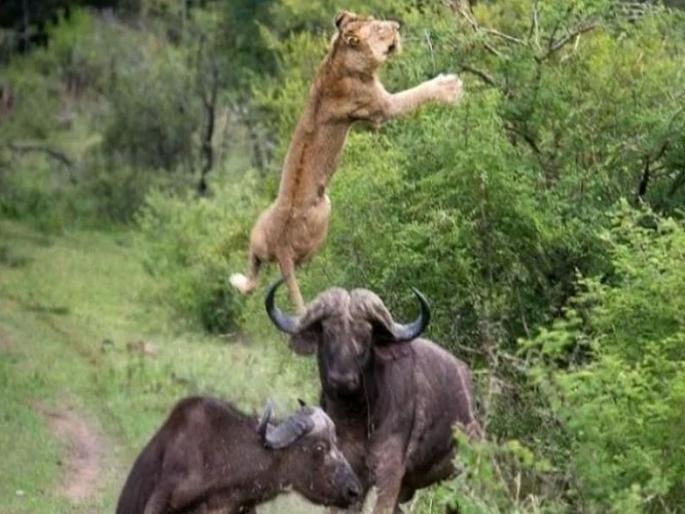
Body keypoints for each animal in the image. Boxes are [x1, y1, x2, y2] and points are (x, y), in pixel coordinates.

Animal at [230, 10, 465, 312]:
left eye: (378, 20)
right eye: (379, 29)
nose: (397, 26)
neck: (338, 59)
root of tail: (281, 248)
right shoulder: (382, 108)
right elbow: (416, 93)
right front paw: (450, 86)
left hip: (258, 233)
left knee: (253, 272)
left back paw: (237, 280)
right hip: (324, 212)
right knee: (296, 265)